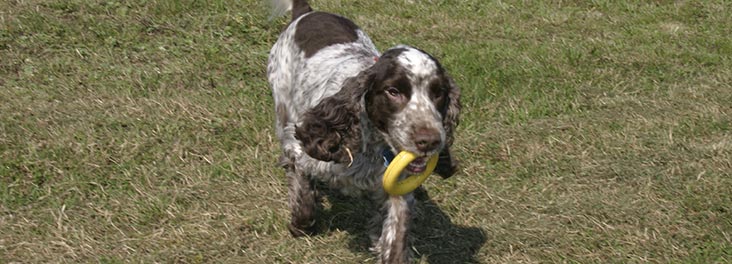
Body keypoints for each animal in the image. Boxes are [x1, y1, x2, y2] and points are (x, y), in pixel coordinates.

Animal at [266, 0, 460, 262]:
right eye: (393, 91)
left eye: (438, 93)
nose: (430, 141)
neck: (372, 146)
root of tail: (307, 12)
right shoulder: (298, 146)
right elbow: (302, 192)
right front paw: (300, 225)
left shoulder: (397, 188)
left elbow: (396, 233)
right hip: (282, 104)